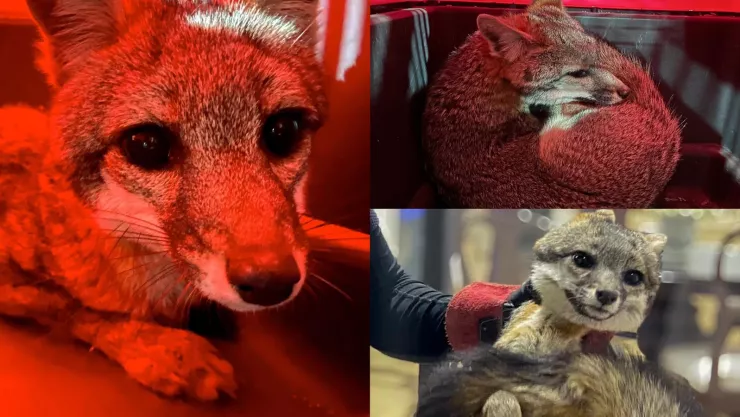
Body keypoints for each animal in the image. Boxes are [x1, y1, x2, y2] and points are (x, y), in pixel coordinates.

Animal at [0, 0, 336, 401]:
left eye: (283, 130)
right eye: (146, 144)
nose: (270, 282)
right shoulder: (16, 282)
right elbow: (80, 310)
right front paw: (166, 350)